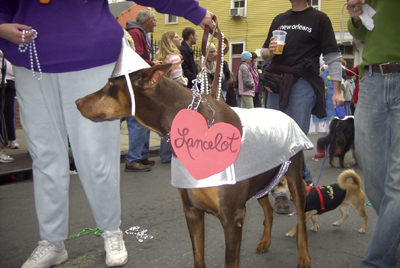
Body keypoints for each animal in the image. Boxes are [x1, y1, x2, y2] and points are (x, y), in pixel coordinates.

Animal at [75, 63, 312, 268]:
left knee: (301, 220)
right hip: (259, 178)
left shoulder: (232, 216)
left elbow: (230, 261)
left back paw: (304, 256)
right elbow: (198, 256)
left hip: (294, 177)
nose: (76, 101)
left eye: (109, 84)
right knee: (268, 210)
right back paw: (265, 241)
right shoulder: (192, 211)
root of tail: (283, 113)